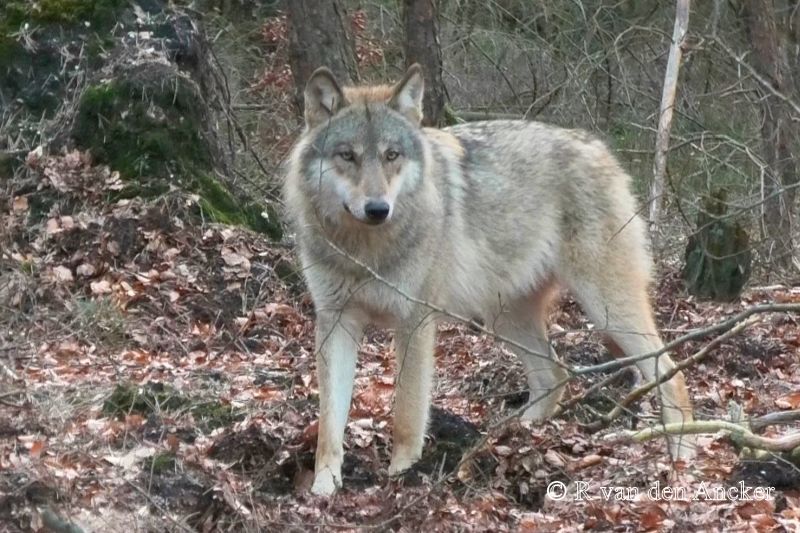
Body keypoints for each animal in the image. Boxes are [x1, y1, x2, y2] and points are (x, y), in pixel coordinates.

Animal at [284, 64, 695, 496]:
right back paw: (513, 438)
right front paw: (323, 487)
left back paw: (681, 459)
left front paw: (401, 479)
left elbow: (407, 414)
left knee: (671, 371)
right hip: (505, 319)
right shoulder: (335, 322)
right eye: (347, 155)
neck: (364, 251)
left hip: (606, 310)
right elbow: (330, 423)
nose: (378, 209)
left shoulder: (414, 322)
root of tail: (598, 147)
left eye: (391, 155)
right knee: (555, 374)